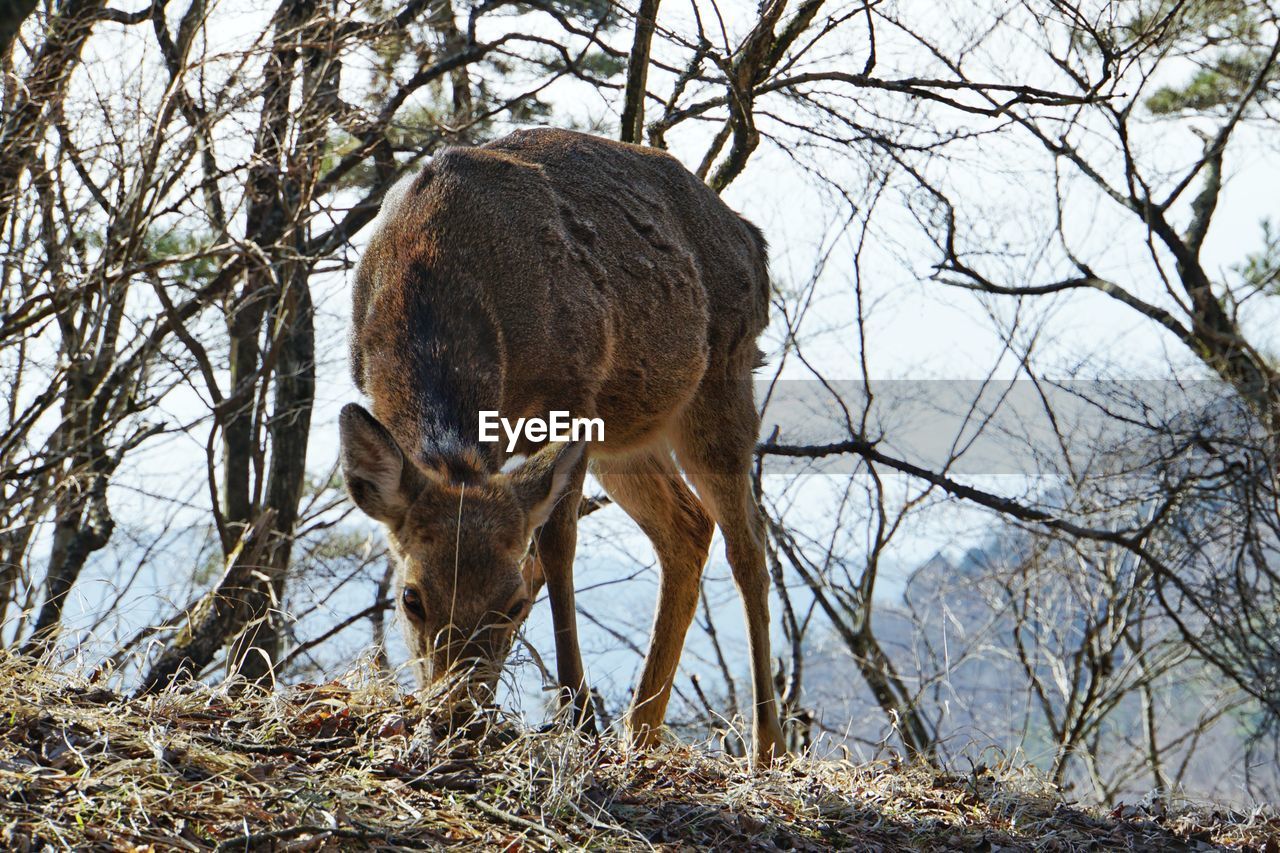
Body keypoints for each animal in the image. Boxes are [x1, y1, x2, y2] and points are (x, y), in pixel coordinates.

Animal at [335, 126, 783, 763]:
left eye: (513, 604)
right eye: (410, 598)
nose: (456, 715)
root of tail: (752, 239)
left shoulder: (572, 394)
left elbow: (555, 545)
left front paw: (580, 718)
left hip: (721, 380)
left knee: (747, 545)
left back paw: (766, 745)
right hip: (628, 433)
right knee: (688, 527)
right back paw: (640, 730)